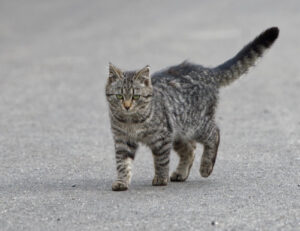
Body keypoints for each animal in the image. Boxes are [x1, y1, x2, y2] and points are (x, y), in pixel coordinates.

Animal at [105, 26, 278, 191]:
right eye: (119, 96)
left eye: (135, 97)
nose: (127, 106)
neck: (131, 121)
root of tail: (209, 71)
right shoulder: (122, 140)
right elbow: (122, 163)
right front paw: (121, 181)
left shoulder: (162, 137)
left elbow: (161, 160)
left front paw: (160, 178)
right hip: (180, 131)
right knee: (190, 149)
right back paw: (181, 173)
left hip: (196, 125)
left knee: (214, 133)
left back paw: (206, 167)